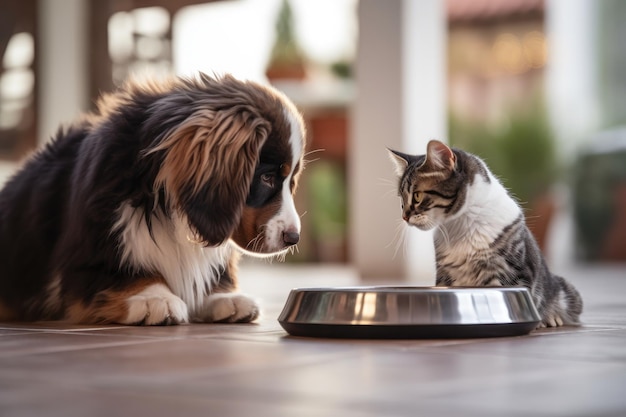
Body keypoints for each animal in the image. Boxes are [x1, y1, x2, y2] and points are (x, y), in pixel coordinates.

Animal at [0, 71, 304, 324]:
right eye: (267, 177)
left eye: (291, 180)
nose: (293, 238)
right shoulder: (94, 244)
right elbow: (120, 271)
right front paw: (152, 296)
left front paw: (223, 296)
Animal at [388, 138, 584, 326]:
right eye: (402, 200)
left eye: (417, 196)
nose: (404, 217)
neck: (460, 225)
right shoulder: (445, 275)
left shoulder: (509, 272)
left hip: (567, 294)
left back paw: (550, 319)